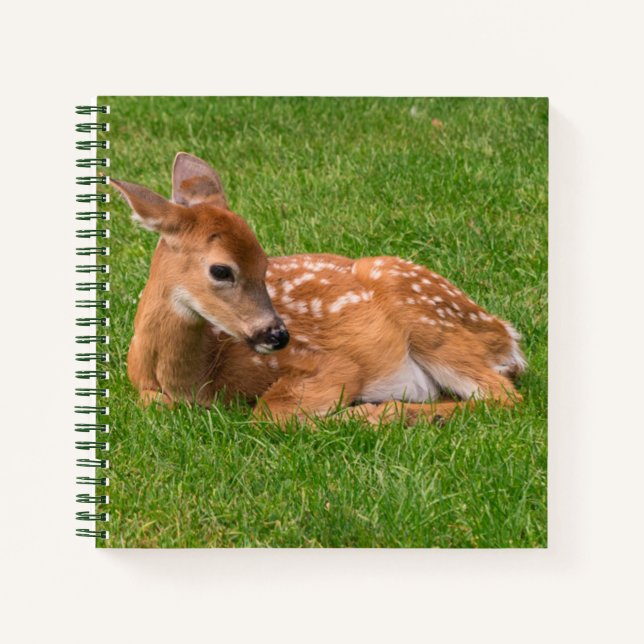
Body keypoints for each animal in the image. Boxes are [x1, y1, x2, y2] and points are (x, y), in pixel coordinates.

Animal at [110, 153, 526, 427]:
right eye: (221, 270)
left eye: (265, 263)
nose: (278, 335)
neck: (195, 378)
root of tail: (506, 335)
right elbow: (155, 404)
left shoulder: (330, 363)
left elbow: (269, 412)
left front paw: (361, 411)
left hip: (429, 319)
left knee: (503, 395)